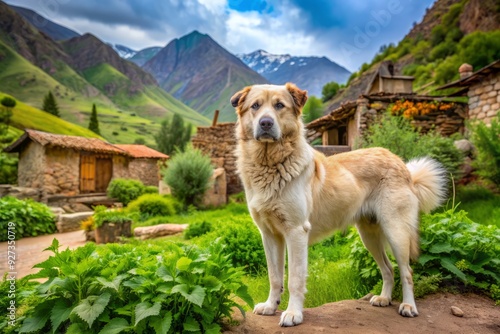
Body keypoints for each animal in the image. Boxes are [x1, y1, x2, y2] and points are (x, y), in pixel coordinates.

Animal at [229, 83, 446, 326]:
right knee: (388, 269)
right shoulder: (269, 235)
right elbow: (274, 276)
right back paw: (384, 298)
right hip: (369, 236)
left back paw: (408, 306)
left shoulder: (296, 232)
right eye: (255, 106)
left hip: (395, 232)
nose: (265, 123)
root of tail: (402, 165)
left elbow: (294, 279)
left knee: (406, 271)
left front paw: (293, 313)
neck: (269, 163)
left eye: (279, 106)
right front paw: (270, 306)